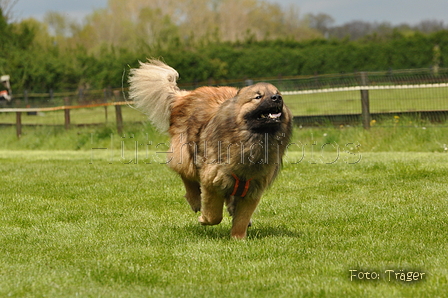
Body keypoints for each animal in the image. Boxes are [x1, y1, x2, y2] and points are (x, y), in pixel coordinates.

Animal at [128, 59, 292, 239]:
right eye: (258, 96)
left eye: (277, 94)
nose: (277, 98)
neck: (251, 139)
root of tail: (184, 96)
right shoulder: (213, 180)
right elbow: (214, 215)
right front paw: (204, 219)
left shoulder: (253, 189)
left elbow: (241, 218)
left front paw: (238, 238)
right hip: (185, 155)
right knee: (186, 176)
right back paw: (195, 200)